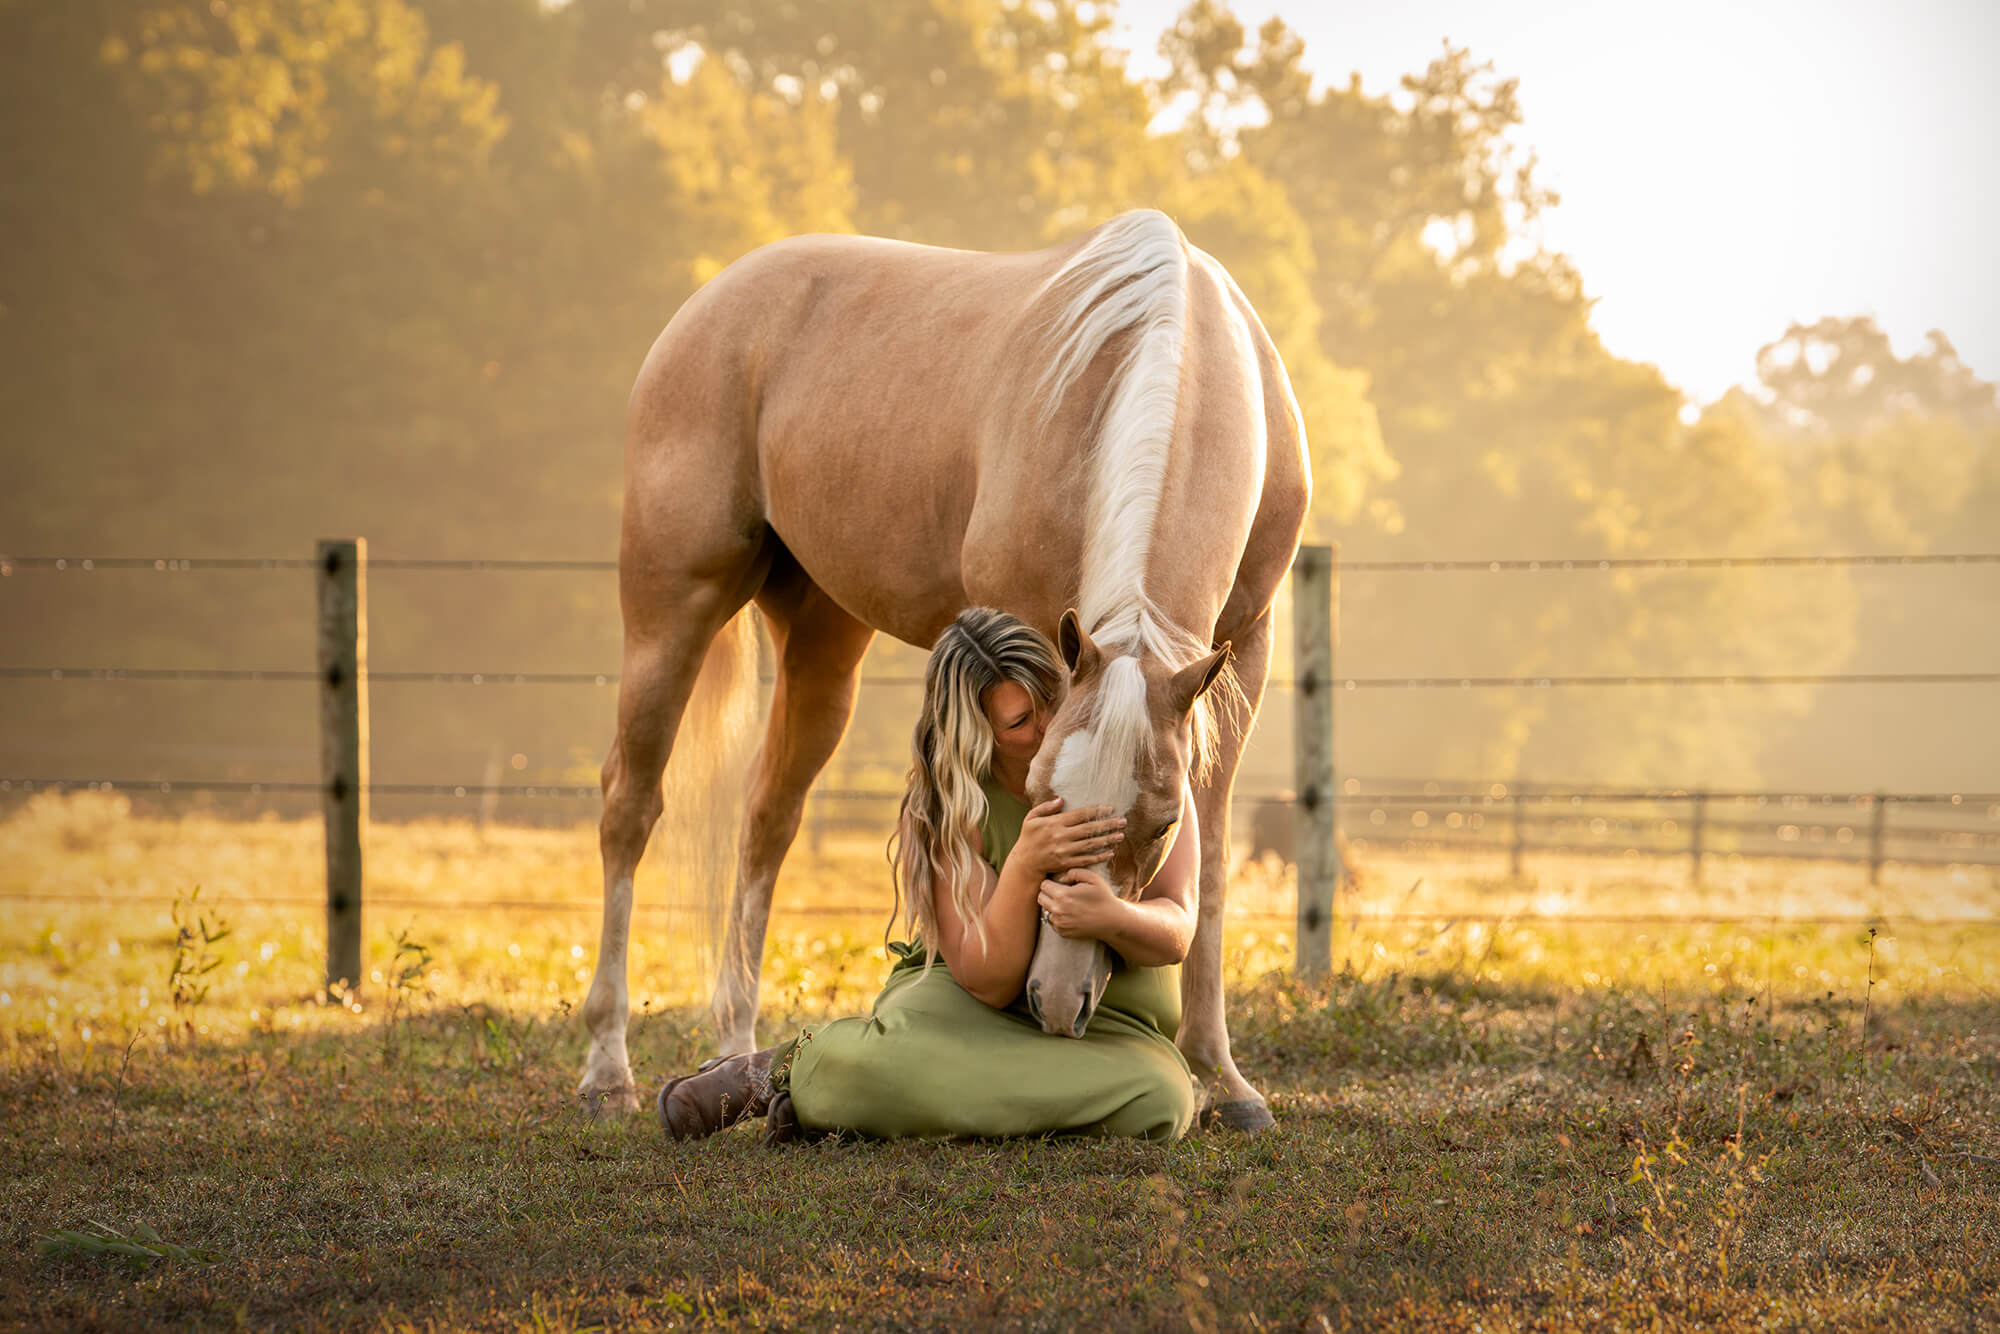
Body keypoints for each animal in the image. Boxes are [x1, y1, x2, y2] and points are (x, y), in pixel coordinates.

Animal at [578, 209, 1308, 1132]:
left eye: (1157, 824)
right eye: (1045, 797)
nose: (1059, 999)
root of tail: (710, 305)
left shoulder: (1243, 651)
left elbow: (1210, 872)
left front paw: (1222, 1079)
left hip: (822, 639)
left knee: (766, 821)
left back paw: (733, 1048)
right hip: (672, 609)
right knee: (630, 807)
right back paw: (608, 1070)